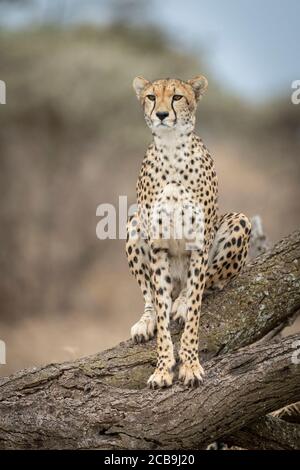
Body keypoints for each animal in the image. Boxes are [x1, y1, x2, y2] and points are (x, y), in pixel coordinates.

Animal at [126, 75, 251, 388]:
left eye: (177, 97)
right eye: (151, 97)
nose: (161, 114)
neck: (171, 150)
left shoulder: (199, 242)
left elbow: (195, 307)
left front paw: (191, 365)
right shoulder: (157, 245)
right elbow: (159, 306)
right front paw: (162, 368)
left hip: (239, 221)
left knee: (207, 282)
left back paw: (180, 302)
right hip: (134, 223)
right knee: (151, 295)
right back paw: (146, 321)